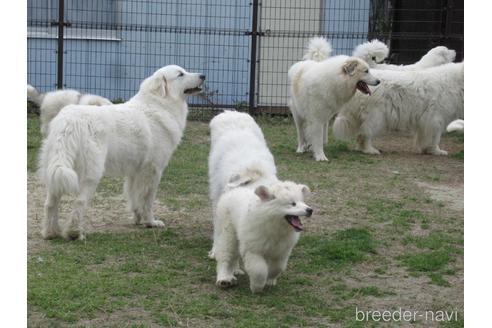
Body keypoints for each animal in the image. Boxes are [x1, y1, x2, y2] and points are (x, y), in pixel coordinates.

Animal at [39, 64, 206, 240]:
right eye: (180, 74)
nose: (203, 76)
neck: (160, 104)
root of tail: (69, 122)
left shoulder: (134, 171)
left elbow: (133, 196)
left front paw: (138, 218)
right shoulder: (153, 171)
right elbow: (147, 200)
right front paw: (150, 222)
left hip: (57, 170)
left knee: (50, 203)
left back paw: (51, 232)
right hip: (90, 174)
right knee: (79, 202)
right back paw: (74, 233)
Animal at [209, 111, 314, 294]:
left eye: (301, 202)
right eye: (292, 204)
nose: (310, 210)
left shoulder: (279, 251)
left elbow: (275, 267)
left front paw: (270, 280)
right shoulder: (252, 246)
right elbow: (258, 268)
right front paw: (255, 284)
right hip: (223, 219)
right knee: (225, 250)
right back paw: (224, 275)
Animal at [332, 62, 464, 156]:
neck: (456, 82)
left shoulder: (426, 121)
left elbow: (422, 137)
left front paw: (423, 149)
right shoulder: (435, 119)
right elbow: (435, 138)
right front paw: (436, 151)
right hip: (376, 117)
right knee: (365, 134)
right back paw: (370, 150)